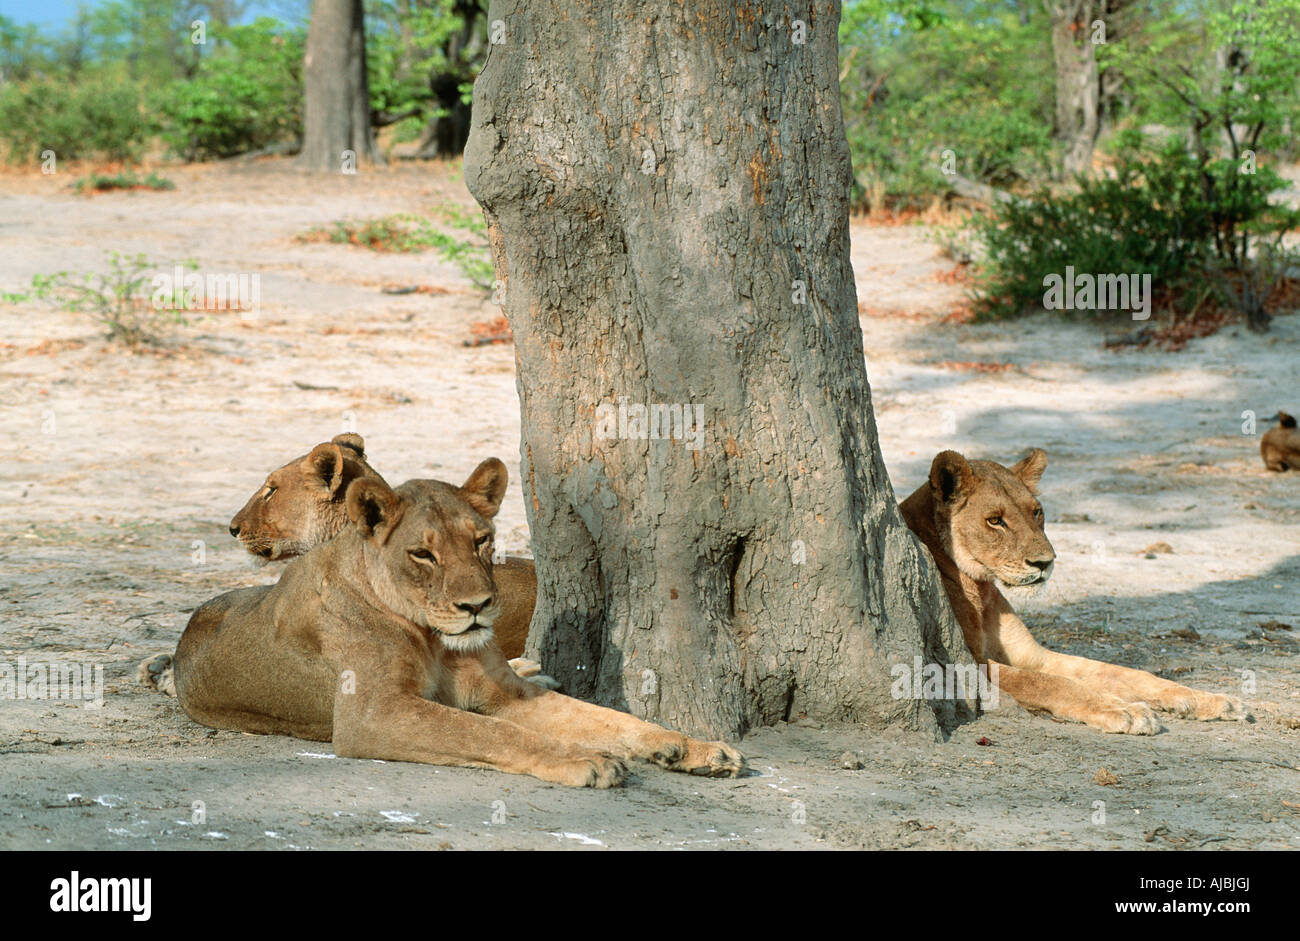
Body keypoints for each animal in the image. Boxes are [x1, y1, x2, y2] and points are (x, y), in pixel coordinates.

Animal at [154, 459, 744, 787]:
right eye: (423, 554)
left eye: (481, 540)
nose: (479, 605)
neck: (432, 636)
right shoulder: (371, 714)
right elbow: (490, 730)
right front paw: (584, 760)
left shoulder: (505, 694)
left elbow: (606, 717)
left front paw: (691, 746)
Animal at [899, 448, 1249, 734]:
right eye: (995, 520)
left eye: (1036, 512)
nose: (1044, 562)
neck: (982, 589)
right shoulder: (967, 662)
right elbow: (1048, 682)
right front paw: (1123, 709)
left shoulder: (1034, 655)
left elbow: (1118, 673)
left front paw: (1206, 699)